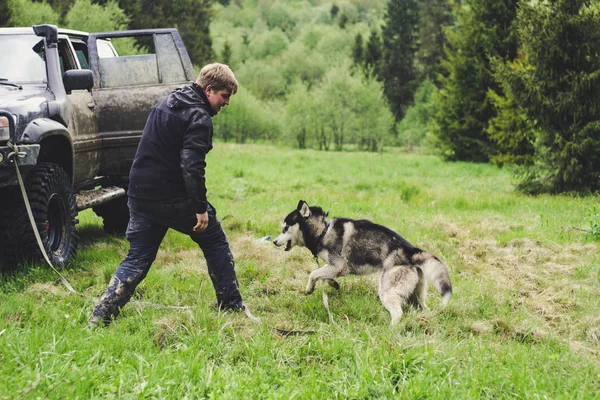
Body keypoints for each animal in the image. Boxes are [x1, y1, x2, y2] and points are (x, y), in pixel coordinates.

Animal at [274, 200, 452, 324]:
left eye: (285, 228)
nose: (274, 241)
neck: (322, 231)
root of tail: (410, 250)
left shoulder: (339, 265)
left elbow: (313, 273)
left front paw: (310, 288)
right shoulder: (335, 267)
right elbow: (322, 274)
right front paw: (331, 284)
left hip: (387, 292)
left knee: (397, 313)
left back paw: (391, 331)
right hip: (416, 297)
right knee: (423, 309)